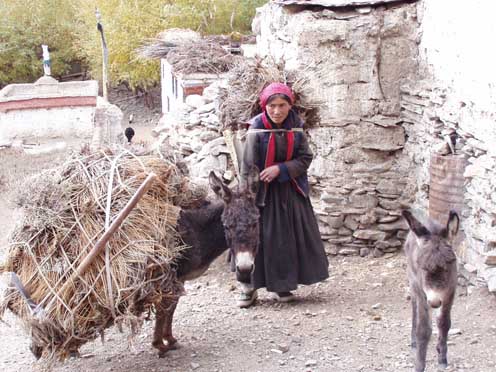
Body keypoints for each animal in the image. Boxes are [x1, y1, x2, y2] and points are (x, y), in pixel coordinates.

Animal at [402, 209, 460, 372]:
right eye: (421, 265)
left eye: (450, 263)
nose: (434, 302)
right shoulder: (423, 293)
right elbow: (423, 329)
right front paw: (419, 365)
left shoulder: (450, 291)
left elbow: (444, 323)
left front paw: (442, 357)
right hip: (413, 282)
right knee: (414, 307)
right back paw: (413, 341)